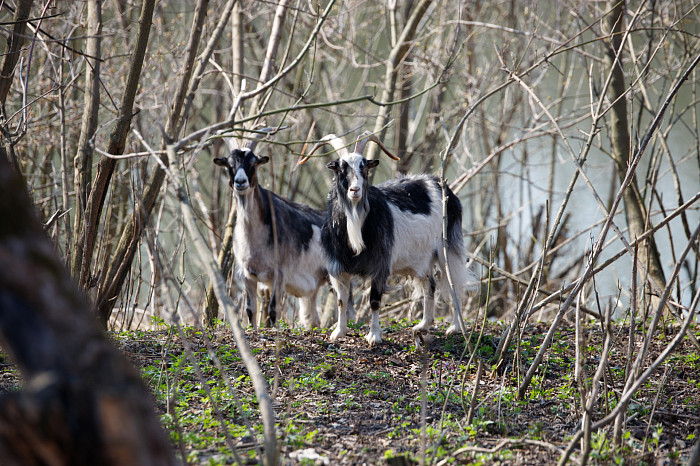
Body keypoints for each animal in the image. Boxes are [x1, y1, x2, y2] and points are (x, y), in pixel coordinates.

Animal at [213, 147, 330, 330]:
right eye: (229, 165)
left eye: (254, 164)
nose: (240, 182)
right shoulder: (247, 275)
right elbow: (250, 309)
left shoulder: (279, 274)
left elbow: (274, 309)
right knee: (312, 319)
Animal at [298, 131, 478, 346]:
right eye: (340, 169)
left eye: (364, 168)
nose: (355, 190)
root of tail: (440, 185)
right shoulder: (338, 268)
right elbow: (341, 301)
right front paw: (338, 332)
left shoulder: (380, 265)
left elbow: (375, 301)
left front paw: (374, 336)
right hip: (423, 258)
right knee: (430, 286)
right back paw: (422, 326)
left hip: (447, 249)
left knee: (454, 285)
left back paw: (455, 327)